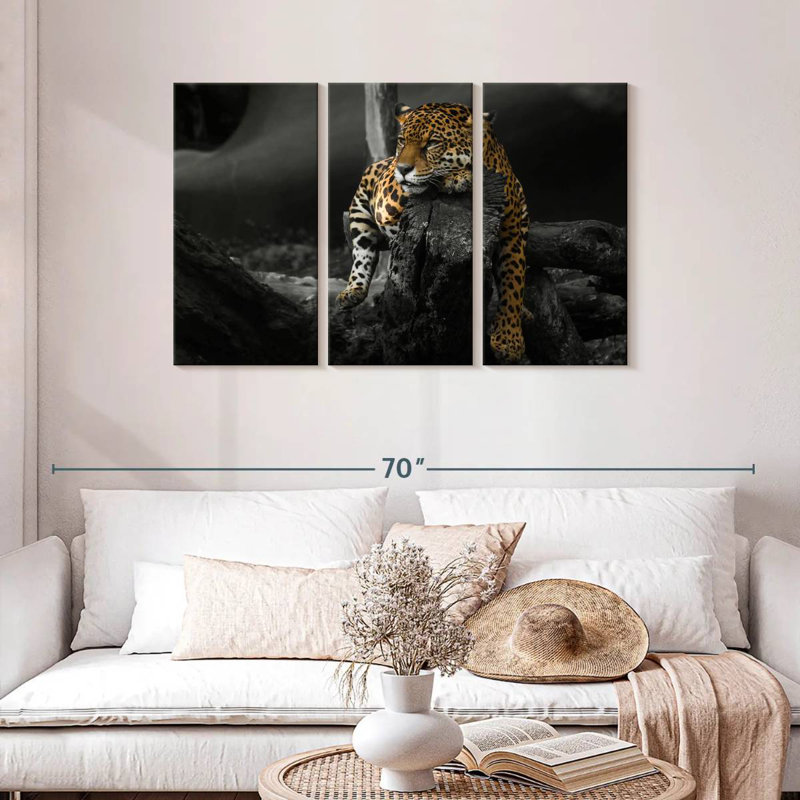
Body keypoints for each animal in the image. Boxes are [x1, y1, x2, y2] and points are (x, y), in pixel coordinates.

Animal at [336, 101, 529, 364]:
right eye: (401, 141)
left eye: (432, 143)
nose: (402, 168)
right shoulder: (388, 191)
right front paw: (457, 177)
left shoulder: (512, 232)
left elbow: (513, 280)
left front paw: (509, 340)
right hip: (362, 206)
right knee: (363, 251)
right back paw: (353, 291)